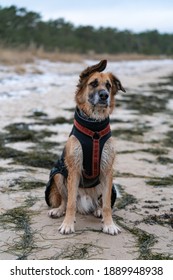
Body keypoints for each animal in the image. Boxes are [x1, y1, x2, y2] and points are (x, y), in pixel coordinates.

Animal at [45, 59, 125, 234]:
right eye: (93, 83)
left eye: (108, 85)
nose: (104, 95)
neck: (94, 128)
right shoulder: (74, 169)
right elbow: (70, 203)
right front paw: (67, 224)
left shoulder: (107, 170)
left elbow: (108, 204)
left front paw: (109, 224)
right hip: (59, 175)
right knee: (66, 200)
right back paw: (59, 210)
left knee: (101, 202)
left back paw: (99, 210)